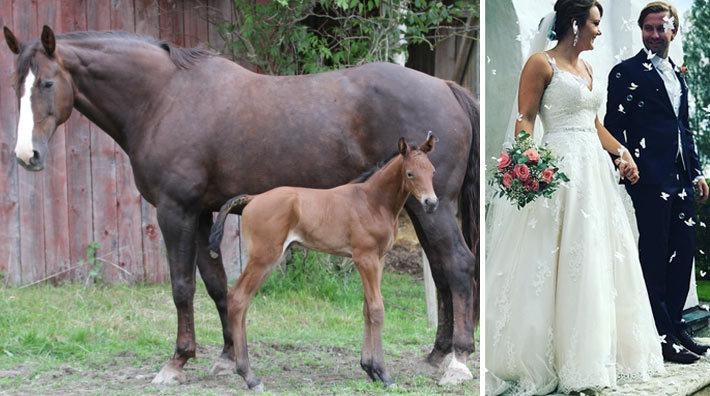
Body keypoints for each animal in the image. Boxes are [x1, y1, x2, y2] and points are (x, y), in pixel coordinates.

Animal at [209, 134, 436, 390]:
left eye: (432, 171)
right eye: (410, 173)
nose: (431, 203)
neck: (372, 202)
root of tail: (252, 199)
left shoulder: (379, 259)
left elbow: (367, 308)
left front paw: (369, 368)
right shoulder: (365, 258)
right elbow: (377, 309)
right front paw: (384, 373)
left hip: (266, 260)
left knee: (242, 301)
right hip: (264, 258)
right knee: (238, 298)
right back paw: (249, 376)